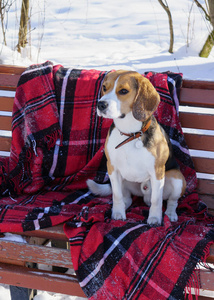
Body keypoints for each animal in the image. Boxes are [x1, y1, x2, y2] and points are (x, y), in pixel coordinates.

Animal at [87, 71, 186, 225]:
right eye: (104, 87)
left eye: (123, 91)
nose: (100, 104)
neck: (130, 134)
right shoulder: (112, 168)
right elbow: (116, 195)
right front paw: (118, 213)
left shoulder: (157, 171)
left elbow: (156, 200)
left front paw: (154, 218)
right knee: (126, 197)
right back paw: (124, 205)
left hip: (177, 178)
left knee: (171, 201)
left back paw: (170, 213)